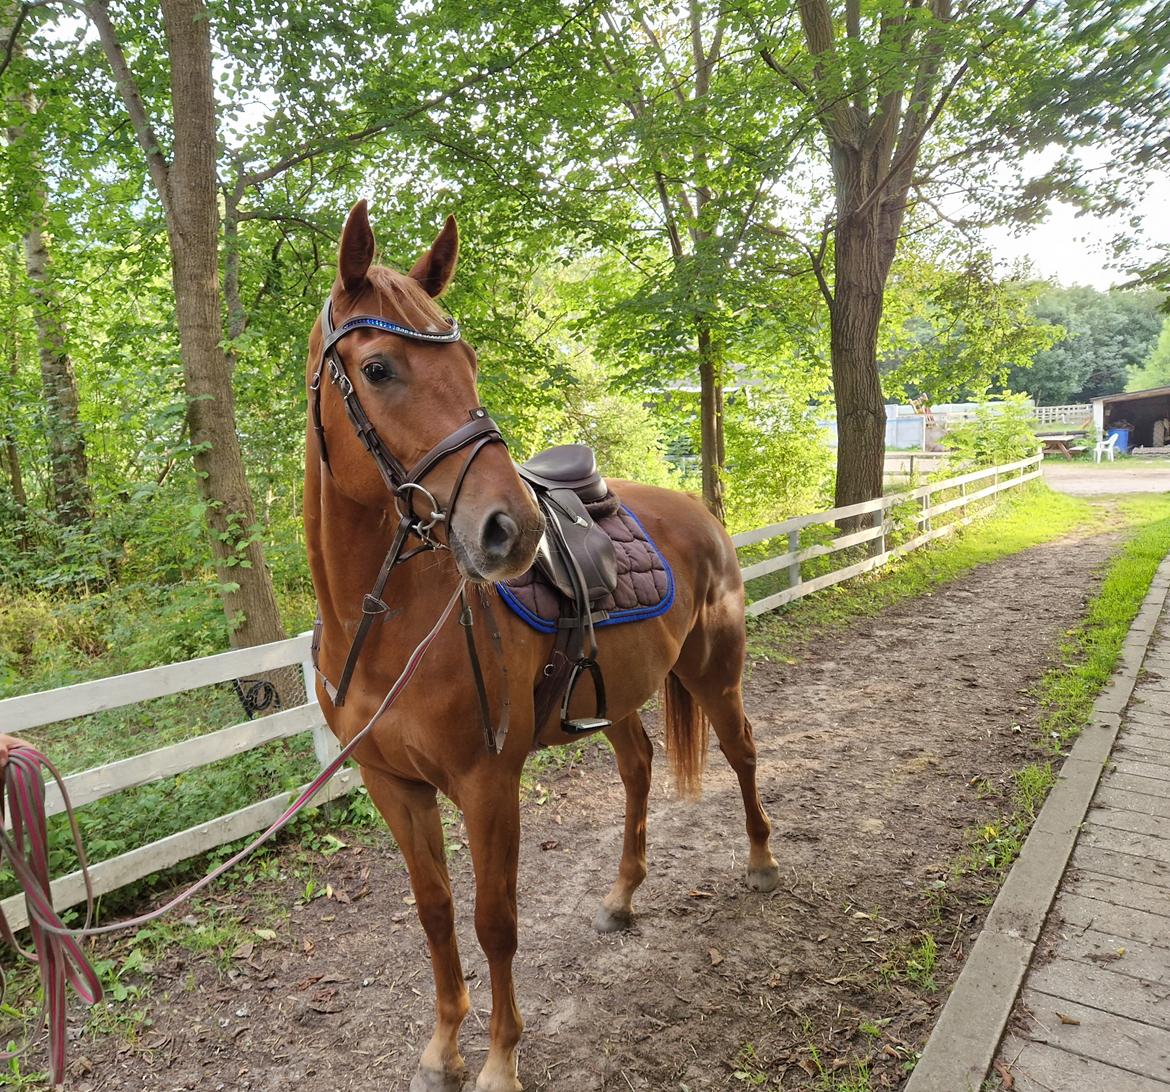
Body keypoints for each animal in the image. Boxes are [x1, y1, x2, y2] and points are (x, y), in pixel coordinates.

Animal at [304, 197, 776, 1090]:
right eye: (378, 369)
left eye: (468, 359)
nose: (511, 528)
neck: (388, 628)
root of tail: (698, 512)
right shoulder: (395, 786)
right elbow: (436, 913)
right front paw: (443, 1048)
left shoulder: (489, 784)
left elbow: (495, 922)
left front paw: (499, 1061)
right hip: (618, 694)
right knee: (638, 768)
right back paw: (623, 897)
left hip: (716, 674)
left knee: (740, 752)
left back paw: (764, 861)